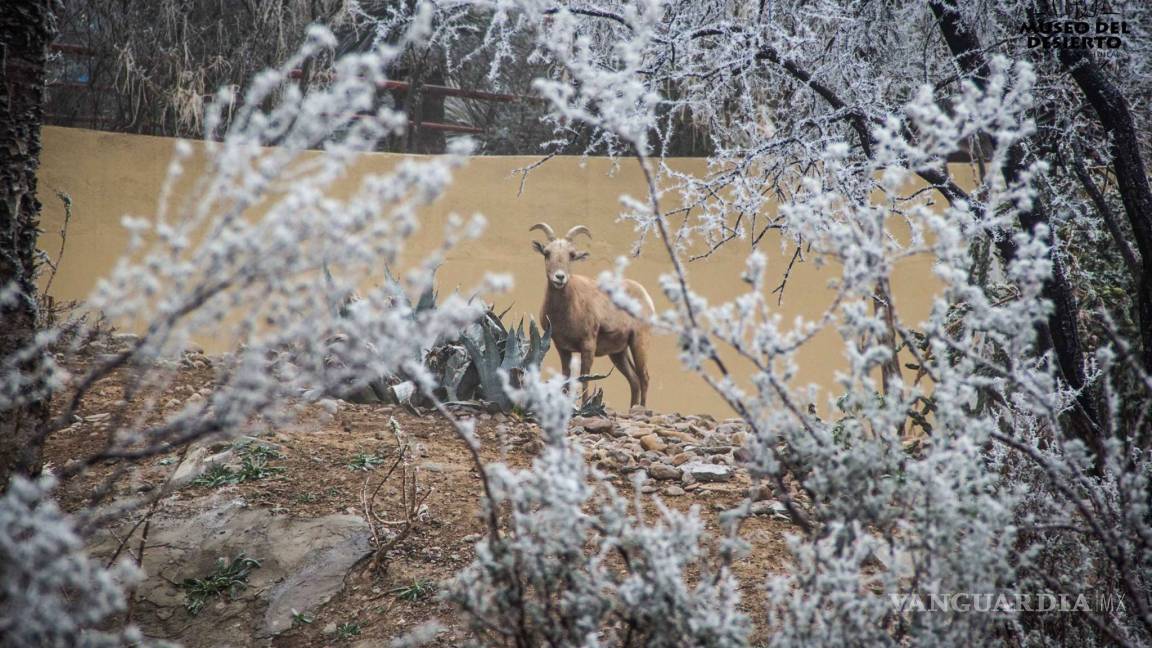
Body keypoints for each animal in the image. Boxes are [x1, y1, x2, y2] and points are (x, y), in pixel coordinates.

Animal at [532, 221, 658, 403]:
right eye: (547, 253)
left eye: (571, 255)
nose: (560, 277)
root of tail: (645, 296)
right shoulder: (562, 347)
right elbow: (565, 379)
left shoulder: (588, 345)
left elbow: (584, 380)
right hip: (618, 353)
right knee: (634, 380)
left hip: (639, 342)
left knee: (644, 377)